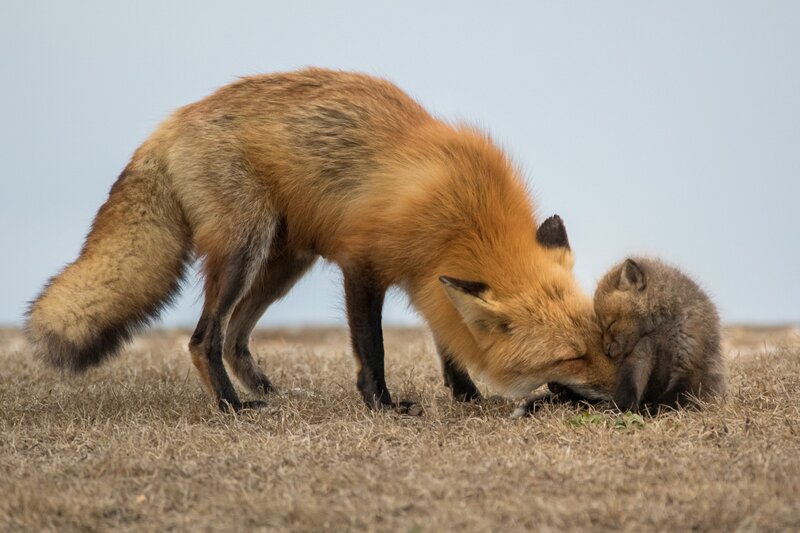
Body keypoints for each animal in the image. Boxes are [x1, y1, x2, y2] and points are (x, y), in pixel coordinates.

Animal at [26, 68, 616, 413]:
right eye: (570, 357)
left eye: (603, 342)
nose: (630, 394)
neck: (463, 213)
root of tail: (171, 123)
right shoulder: (364, 267)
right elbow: (373, 349)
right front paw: (382, 406)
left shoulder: (430, 279)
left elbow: (446, 339)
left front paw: (464, 393)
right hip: (245, 249)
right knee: (203, 338)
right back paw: (232, 407)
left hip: (285, 263)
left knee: (235, 337)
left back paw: (263, 389)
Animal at [594, 257, 726, 412]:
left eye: (611, 323)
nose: (606, 350)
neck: (661, 331)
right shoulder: (641, 353)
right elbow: (628, 387)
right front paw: (623, 409)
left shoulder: (688, 365)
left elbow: (668, 400)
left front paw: (653, 413)